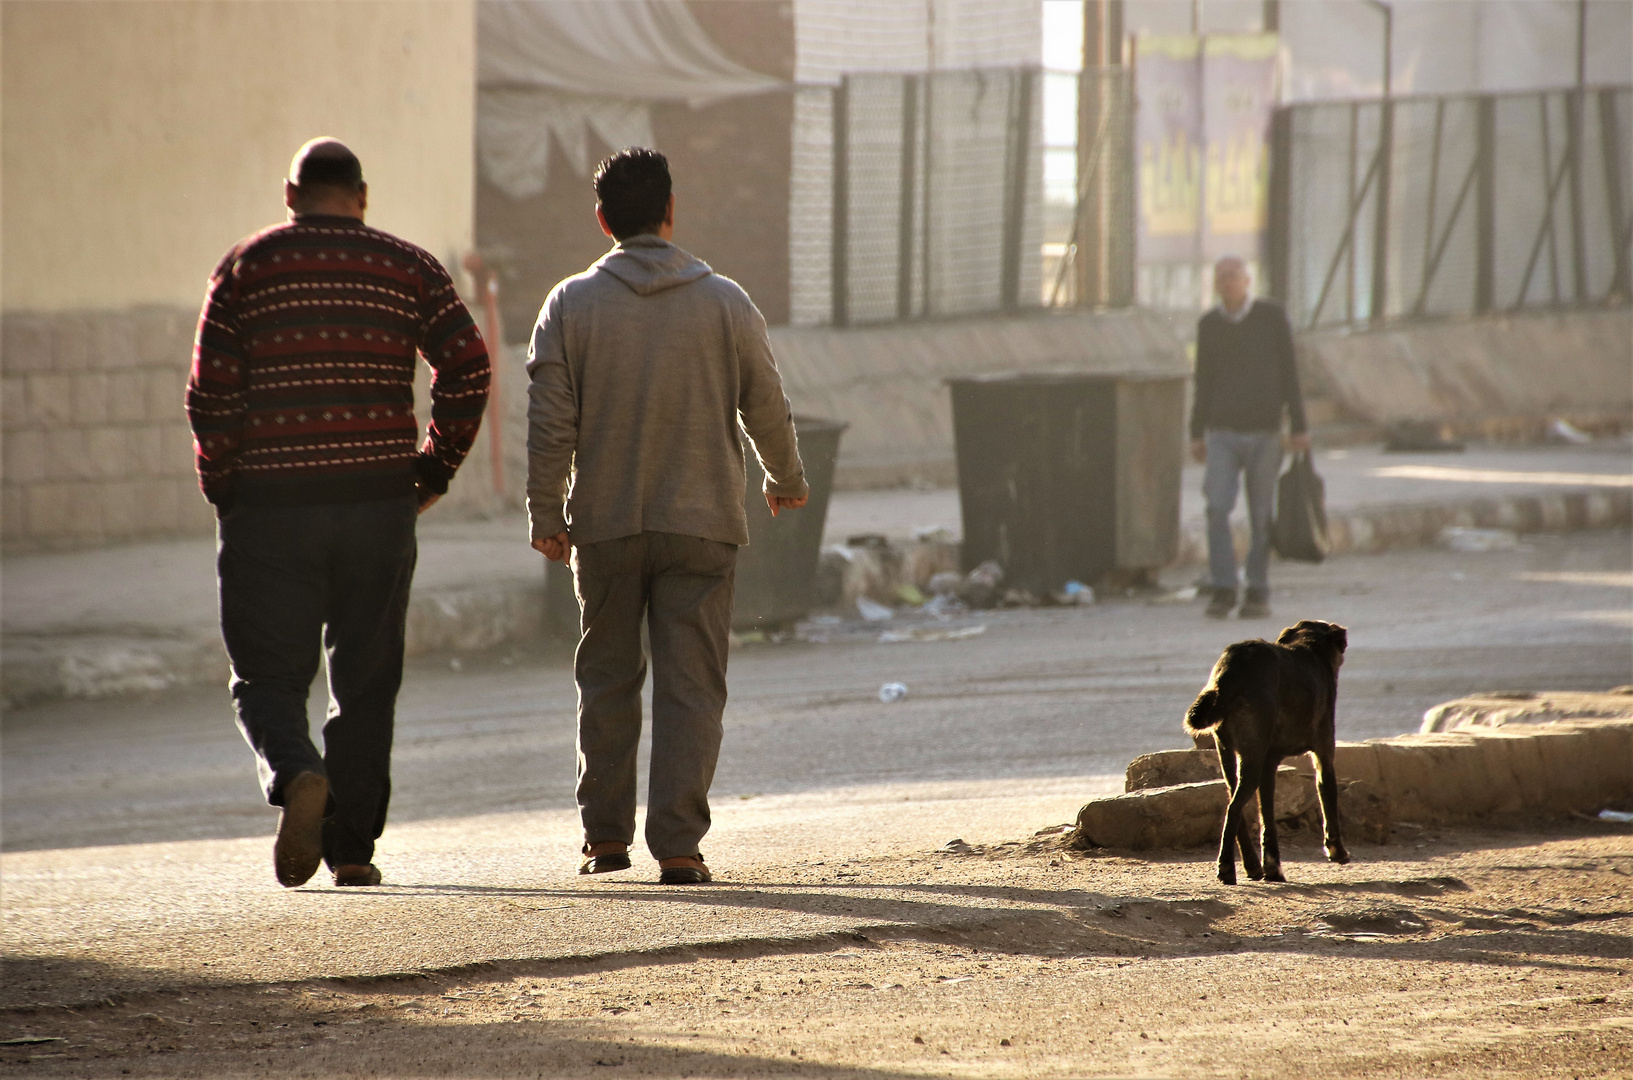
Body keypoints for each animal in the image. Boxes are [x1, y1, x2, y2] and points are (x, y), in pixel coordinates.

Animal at [1188, 617, 1352, 882]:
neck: (1308, 646)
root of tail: (1232, 671)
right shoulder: (1324, 754)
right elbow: (1327, 798)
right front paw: (1337, 851)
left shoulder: (1269, 764)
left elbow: (1266, 816)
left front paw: (1272, 867)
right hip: (1251, 759)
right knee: (1233, 808)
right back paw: (1226, 867)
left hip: (1229, 755)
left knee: (1235, 804)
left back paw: (1252, 866)